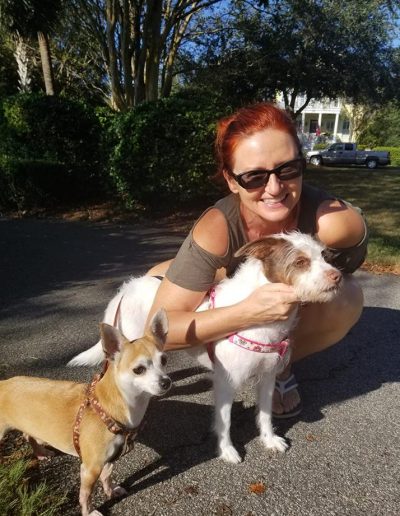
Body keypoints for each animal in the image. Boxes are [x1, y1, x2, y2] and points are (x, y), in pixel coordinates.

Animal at [0, 310, 170, 516]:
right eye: (139, 370)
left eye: (164, 360)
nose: (166, 382)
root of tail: (3, 383)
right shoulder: (91, 468)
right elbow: (86, 494)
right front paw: (88, 511)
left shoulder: (109, 460)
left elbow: (107, 477)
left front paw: (110, 491)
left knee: (28, 436)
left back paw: (40, 453)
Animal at [68, 233, 340, 464]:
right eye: (301, 262)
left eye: (324, 256)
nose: (337, 276)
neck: (262, 321)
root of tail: (126, 289)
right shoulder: (225, 383)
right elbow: (225, 421)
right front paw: (228, 451)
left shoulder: (267, 377)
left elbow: (264, 414)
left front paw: (269, 440)